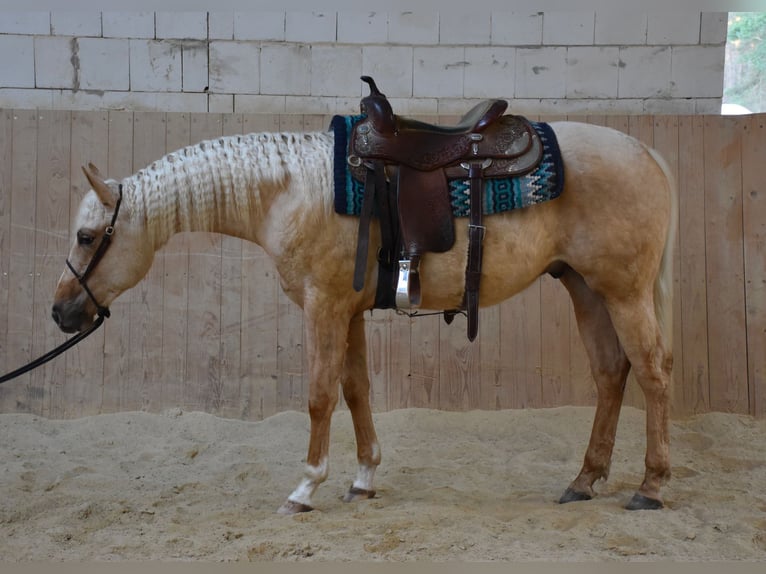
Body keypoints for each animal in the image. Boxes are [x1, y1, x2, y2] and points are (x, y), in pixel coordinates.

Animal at [52, 119, 677, 514]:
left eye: (86, 236)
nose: (60, 312)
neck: (291, 192)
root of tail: (647, 153)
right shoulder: (346, 311)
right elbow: (356, 390)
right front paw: (363, 479)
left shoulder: (323, 307)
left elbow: (319, 395)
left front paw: (305, 488)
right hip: (585, 288)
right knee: (611, 373)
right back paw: (584, 480)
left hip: (623, 292)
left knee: (652, 373)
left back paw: (650, 486)